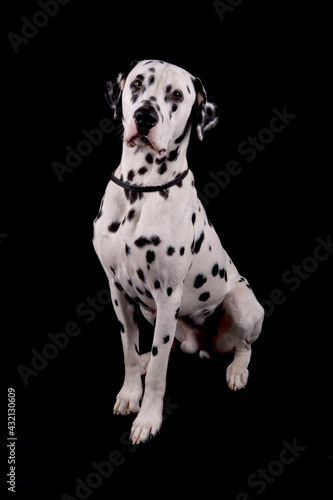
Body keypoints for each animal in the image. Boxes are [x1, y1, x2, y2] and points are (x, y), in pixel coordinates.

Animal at [92, 59, 264, 446]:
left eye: (175, 95)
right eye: (137, 83)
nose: (144, 117)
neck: (141, 190)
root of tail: (202, 344)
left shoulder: (166, 295)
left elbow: (159, 374)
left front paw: (148, 418)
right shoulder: (118, 292)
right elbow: (128, 352)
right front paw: (130, 392)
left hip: (243, 305)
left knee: (244, 346)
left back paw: (237, 370)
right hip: (153, 313)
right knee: (163, 346)